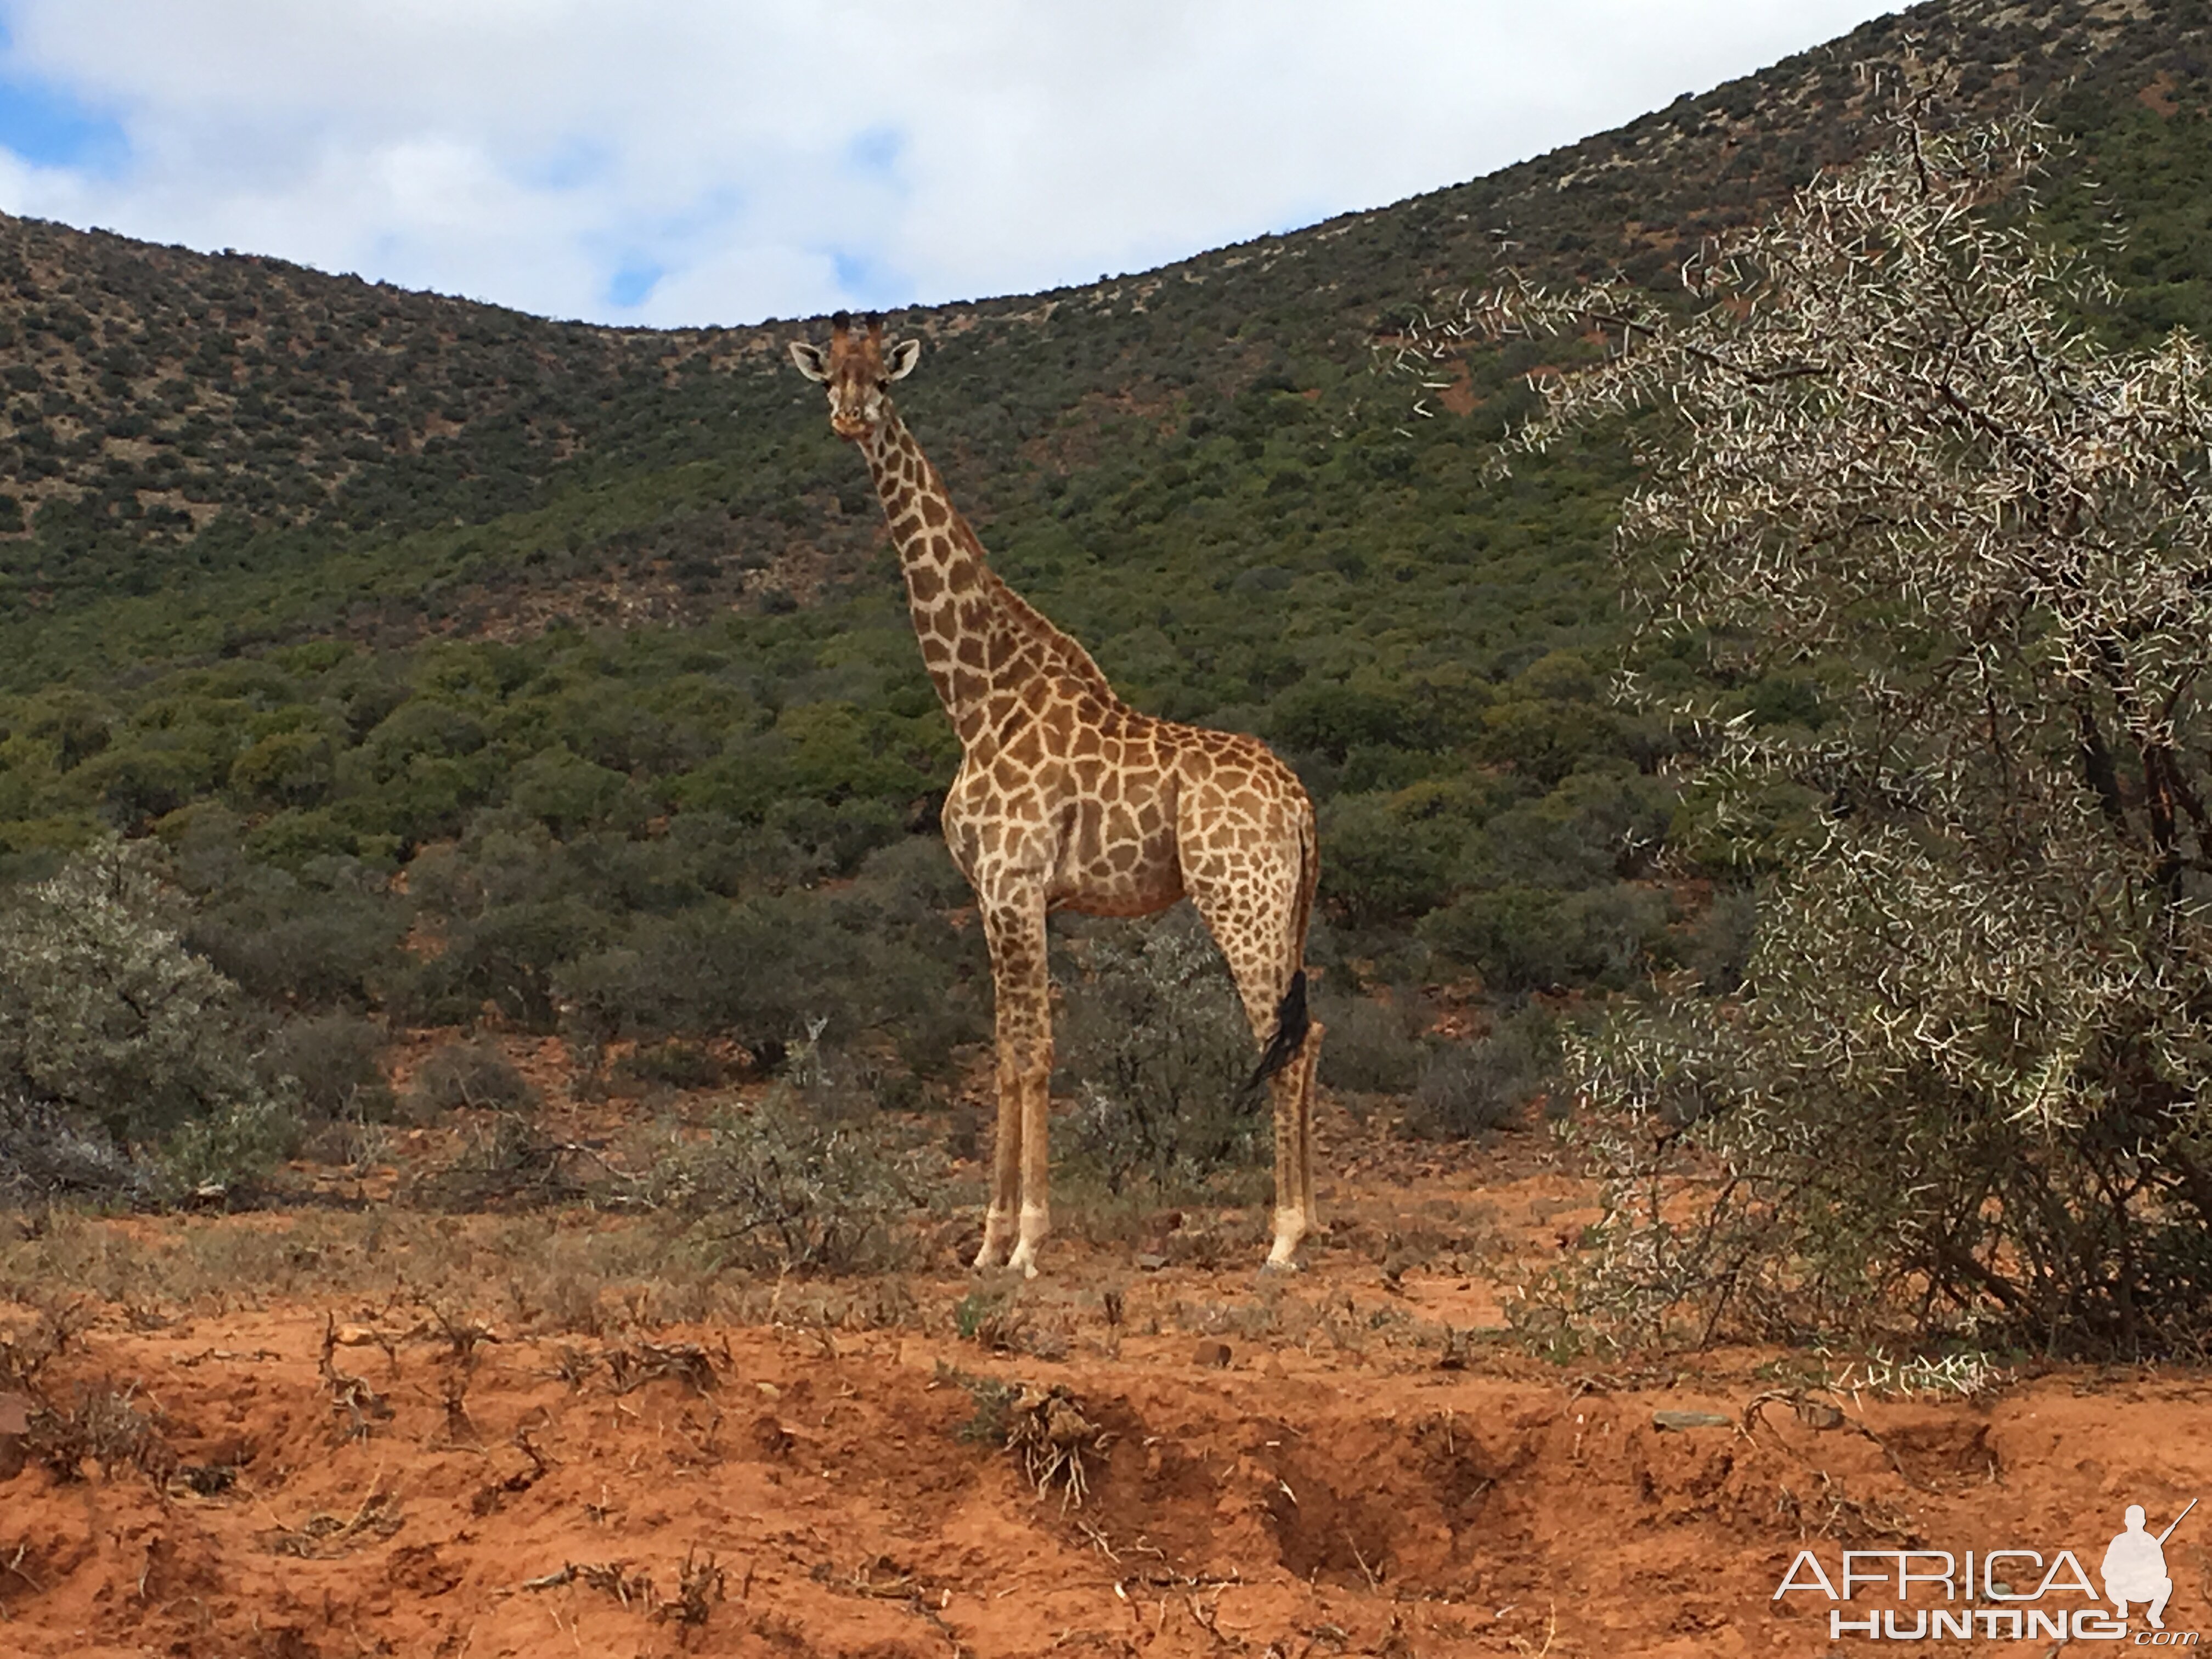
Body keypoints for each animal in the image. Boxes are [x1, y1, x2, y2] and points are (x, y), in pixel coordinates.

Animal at [792, 314, 1318, 1283]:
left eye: (883, 380)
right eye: (829, 378)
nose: (848, 420)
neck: (977, 700)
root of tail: (1301, 802)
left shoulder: (1015, 885)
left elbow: (1034, 1054)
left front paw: (1030, 1242)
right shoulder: (991, 896)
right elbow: (1004, 1055)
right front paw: (986, 1243)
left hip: (1242, 899)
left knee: (1284, 1041)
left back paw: (1285, 1236)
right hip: (1288, 906)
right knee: (1311, 1030)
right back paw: (1315, 1222)